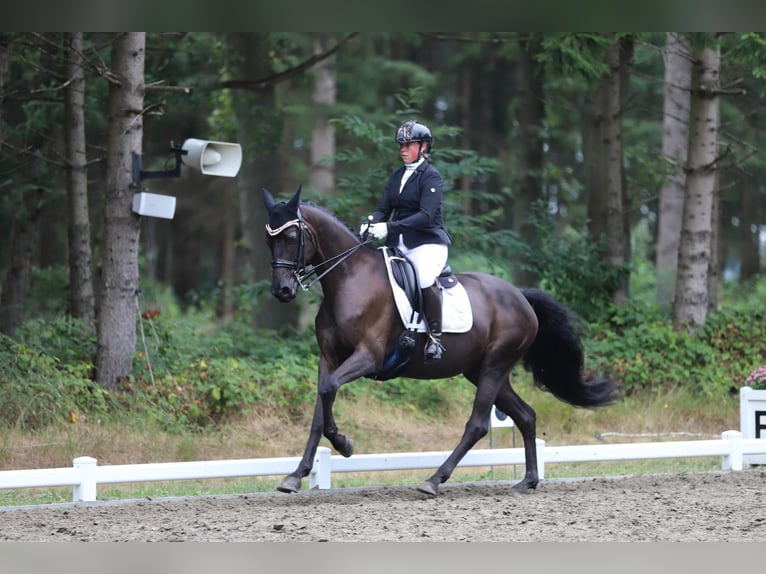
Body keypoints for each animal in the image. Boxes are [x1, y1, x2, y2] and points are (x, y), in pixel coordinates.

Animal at [264, 187, 624, 498]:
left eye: (292, 237)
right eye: (269, 240)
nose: (283, 291)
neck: (349, 281)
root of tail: (520, 296)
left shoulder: (368, 356)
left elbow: (328, 393)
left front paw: (344, 444)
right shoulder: (328, 358)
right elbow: (319, 411)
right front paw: (295, 476)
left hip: (494, 367)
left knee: (478, 424)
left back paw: (434, 480)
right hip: (482, 371)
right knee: (526, 416)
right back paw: (527, 481)